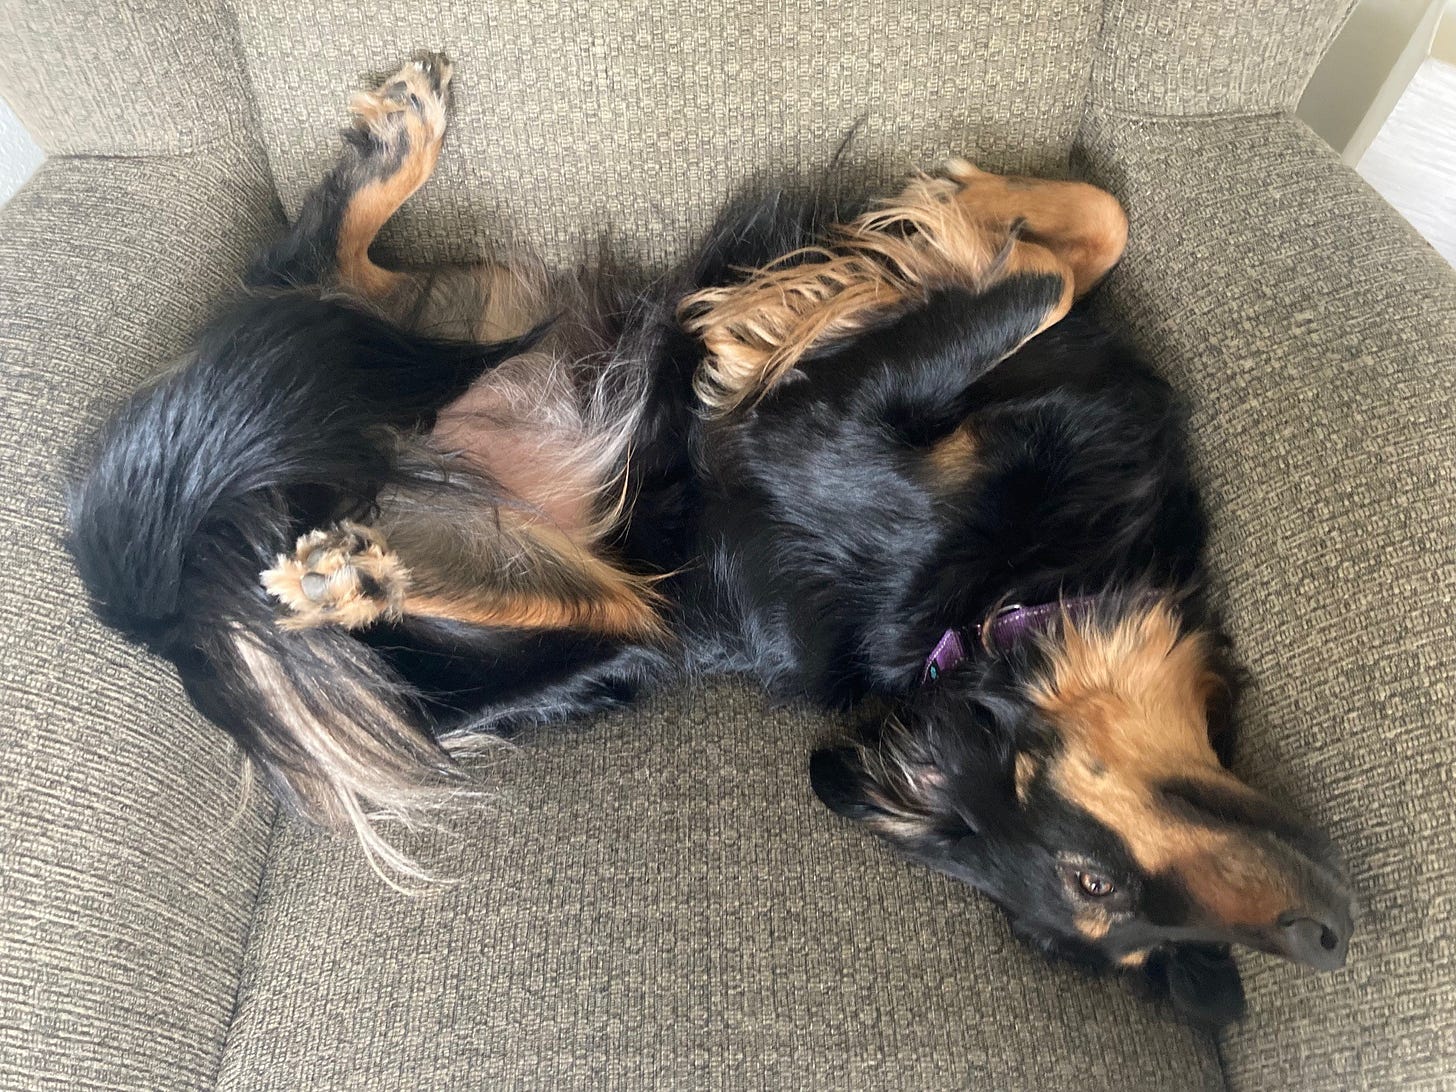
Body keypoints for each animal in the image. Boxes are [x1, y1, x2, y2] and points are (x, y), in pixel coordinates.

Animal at [62, 51, 1345, 1025]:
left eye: (1122, 923)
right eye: (1092, 879)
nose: (1329, 935)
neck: (996, 610)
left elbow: (1066, 252)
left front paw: (843, 284)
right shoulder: (825, 420)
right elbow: (1065, 253)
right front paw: (856, 272)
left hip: (618, 619)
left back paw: (361, 571)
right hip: (459, 358)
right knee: (298, 276)